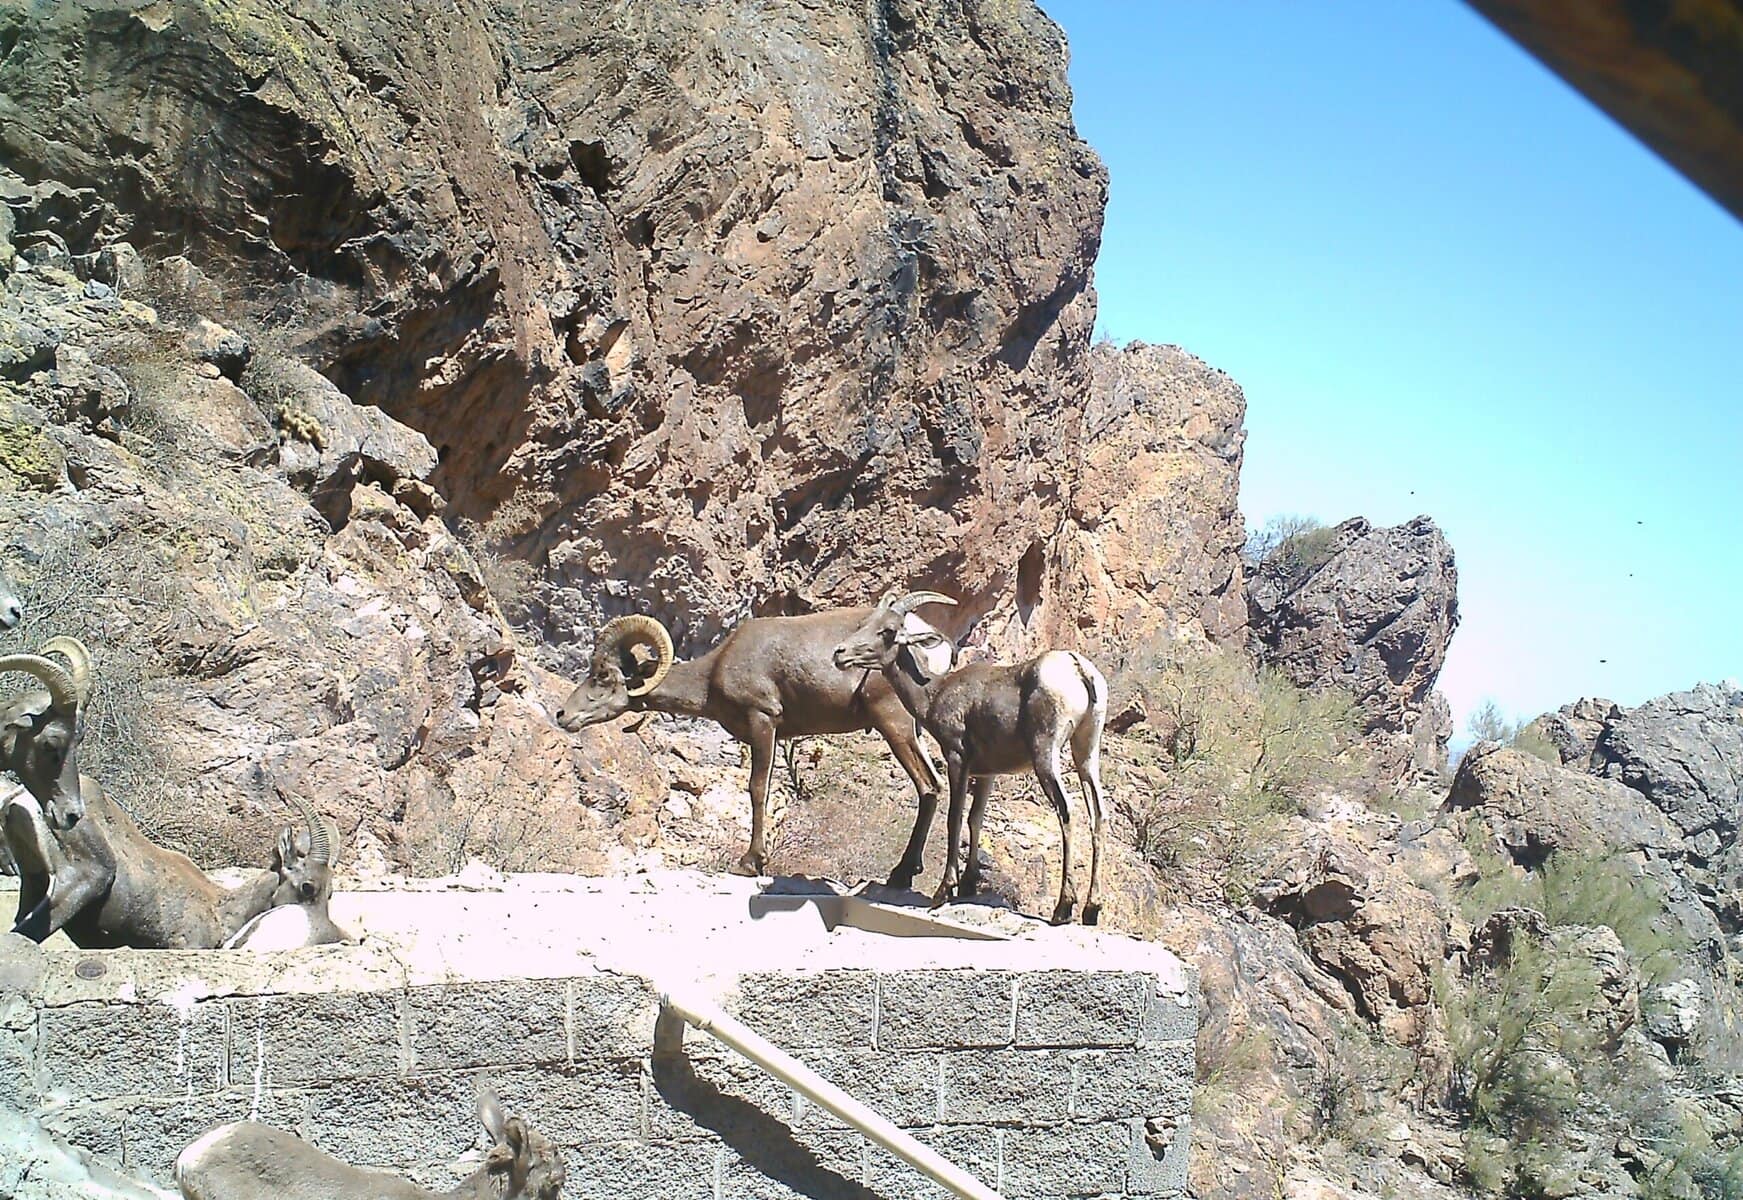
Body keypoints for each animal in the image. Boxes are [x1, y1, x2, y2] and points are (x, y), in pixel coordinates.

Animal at [1, 637, 330, 948]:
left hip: (34, 878)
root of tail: (19, 799)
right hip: (80, 880)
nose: (329, 934)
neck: (222, 909)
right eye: (308, 886)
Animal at [557, 609, 953, 885]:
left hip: (894, 724)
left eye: (603, 675)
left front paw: (751, 862)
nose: (563, 715)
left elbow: (757, 788)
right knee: (934, 785)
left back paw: (901, 876)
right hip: (911, 731)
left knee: (927, 786)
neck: (714, 672)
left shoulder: (762, 721)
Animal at [831, 590, 1110, 926]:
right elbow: (975, 820)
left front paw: (944, 890)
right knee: (1098, 814)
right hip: (1086, 753)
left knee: (1067, 811)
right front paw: (967, 886)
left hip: (1046, 755)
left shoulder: (957, 758)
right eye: (866, 623)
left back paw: (1063, 908)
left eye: (887, 631)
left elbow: (955, 816)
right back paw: (1091, 910)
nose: (840, 654)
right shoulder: (987, 773)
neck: (934, 692)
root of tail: (1078, 668)